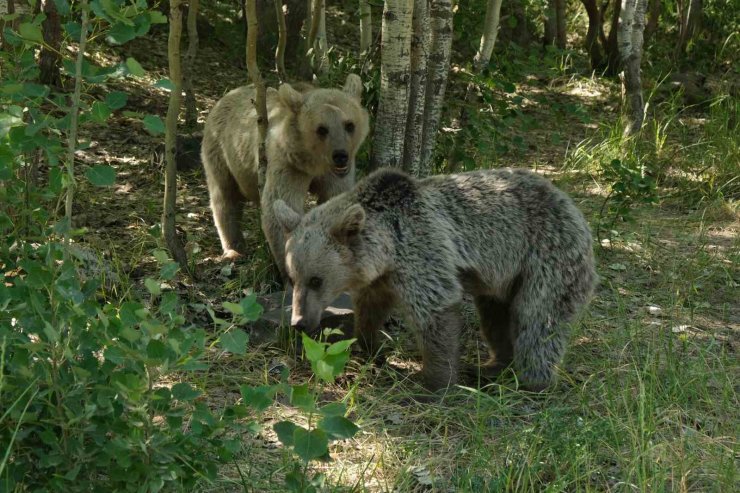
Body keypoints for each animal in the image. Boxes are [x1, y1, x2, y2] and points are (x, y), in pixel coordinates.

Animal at [201, 74, 368, 278]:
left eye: (349, 125)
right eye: (322, 129)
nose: (341, 155)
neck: (313, 164)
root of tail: (225, 96)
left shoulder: (334, 176)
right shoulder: (287, 165)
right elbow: (279, 208)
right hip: (221, 151)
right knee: (224, 197)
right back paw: (234, 249)